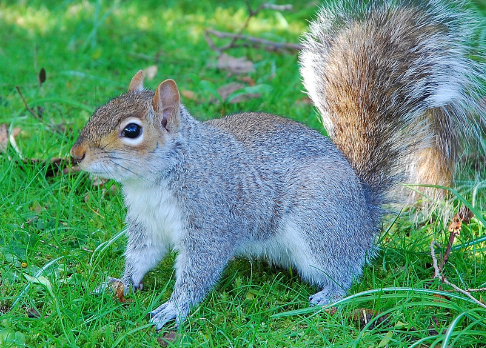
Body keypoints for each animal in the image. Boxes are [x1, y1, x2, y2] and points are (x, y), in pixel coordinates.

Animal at [70, 0, 484, 330]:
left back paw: (330, 294)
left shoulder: (210, 220)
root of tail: (364, 215)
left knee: (346, 269)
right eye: (101, 107)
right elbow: (142, 256)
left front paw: (175, 307)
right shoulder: (147, 223)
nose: (75, 155)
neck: (157, 179)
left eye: (132, 130)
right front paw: (120, 282)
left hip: (319, 224)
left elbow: (199, 269)